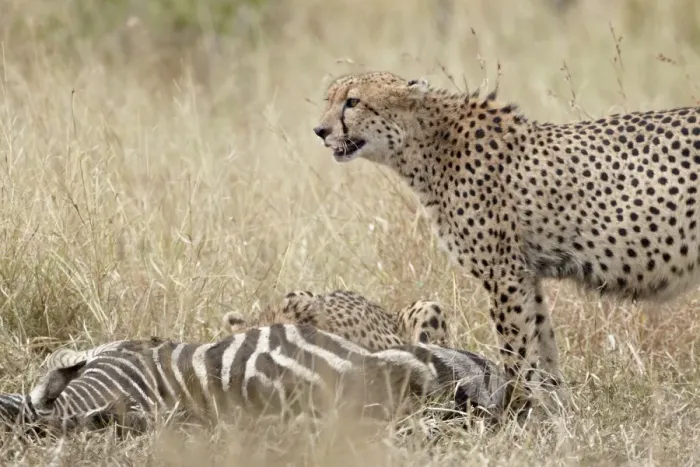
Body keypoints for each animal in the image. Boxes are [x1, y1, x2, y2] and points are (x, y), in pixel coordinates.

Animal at [312, 70, 700, 414]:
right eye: (328, 99)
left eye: (353, 102)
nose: (320, 130)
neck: (426, 143)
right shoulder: (527, 274)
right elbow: (543, 344)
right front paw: (556, 410)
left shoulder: (504, 274)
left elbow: (515, 348)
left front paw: (517, 412)